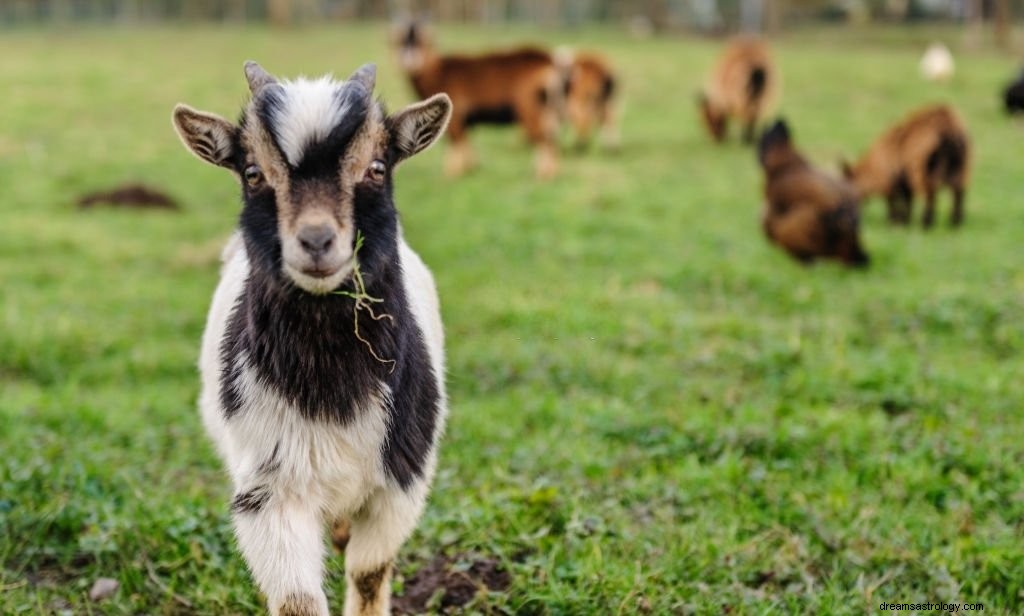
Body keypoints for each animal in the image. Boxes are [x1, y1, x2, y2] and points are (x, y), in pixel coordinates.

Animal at [173, 61, 452, 613]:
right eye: (253, 173)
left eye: (378, 167)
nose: (317, 240)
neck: (331, 388)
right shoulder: (269, 489)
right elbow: (297, 599)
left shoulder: (401, 481)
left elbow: (368, 572)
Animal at [391, 19, 561, 177]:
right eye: (401, 43)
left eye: (421, 43)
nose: (409, 61)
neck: (440, 71)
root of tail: (548, 60)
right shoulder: (466, 121)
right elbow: (466, 145)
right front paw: (470, 169)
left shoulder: (457, 116)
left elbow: (456, 143)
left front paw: (452, 174)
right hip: (546, 108)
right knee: (550, 137)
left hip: (529, 107)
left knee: (544, 138)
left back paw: (544, 175)